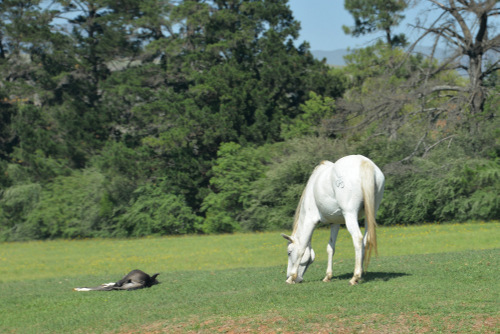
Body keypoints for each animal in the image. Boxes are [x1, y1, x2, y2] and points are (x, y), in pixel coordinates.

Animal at [282, 155, 382, 286]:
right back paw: (359, 274)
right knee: (366, 240)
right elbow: (330, 248)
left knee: (358, 239)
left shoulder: (310, 221)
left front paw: (291, 277)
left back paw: (355, 277)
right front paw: (328, 276)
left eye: (289, 252)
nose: (290, 276)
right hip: (371, 213)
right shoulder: (335, 223)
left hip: (350, 214)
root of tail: (364, 163)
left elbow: (301, 248)